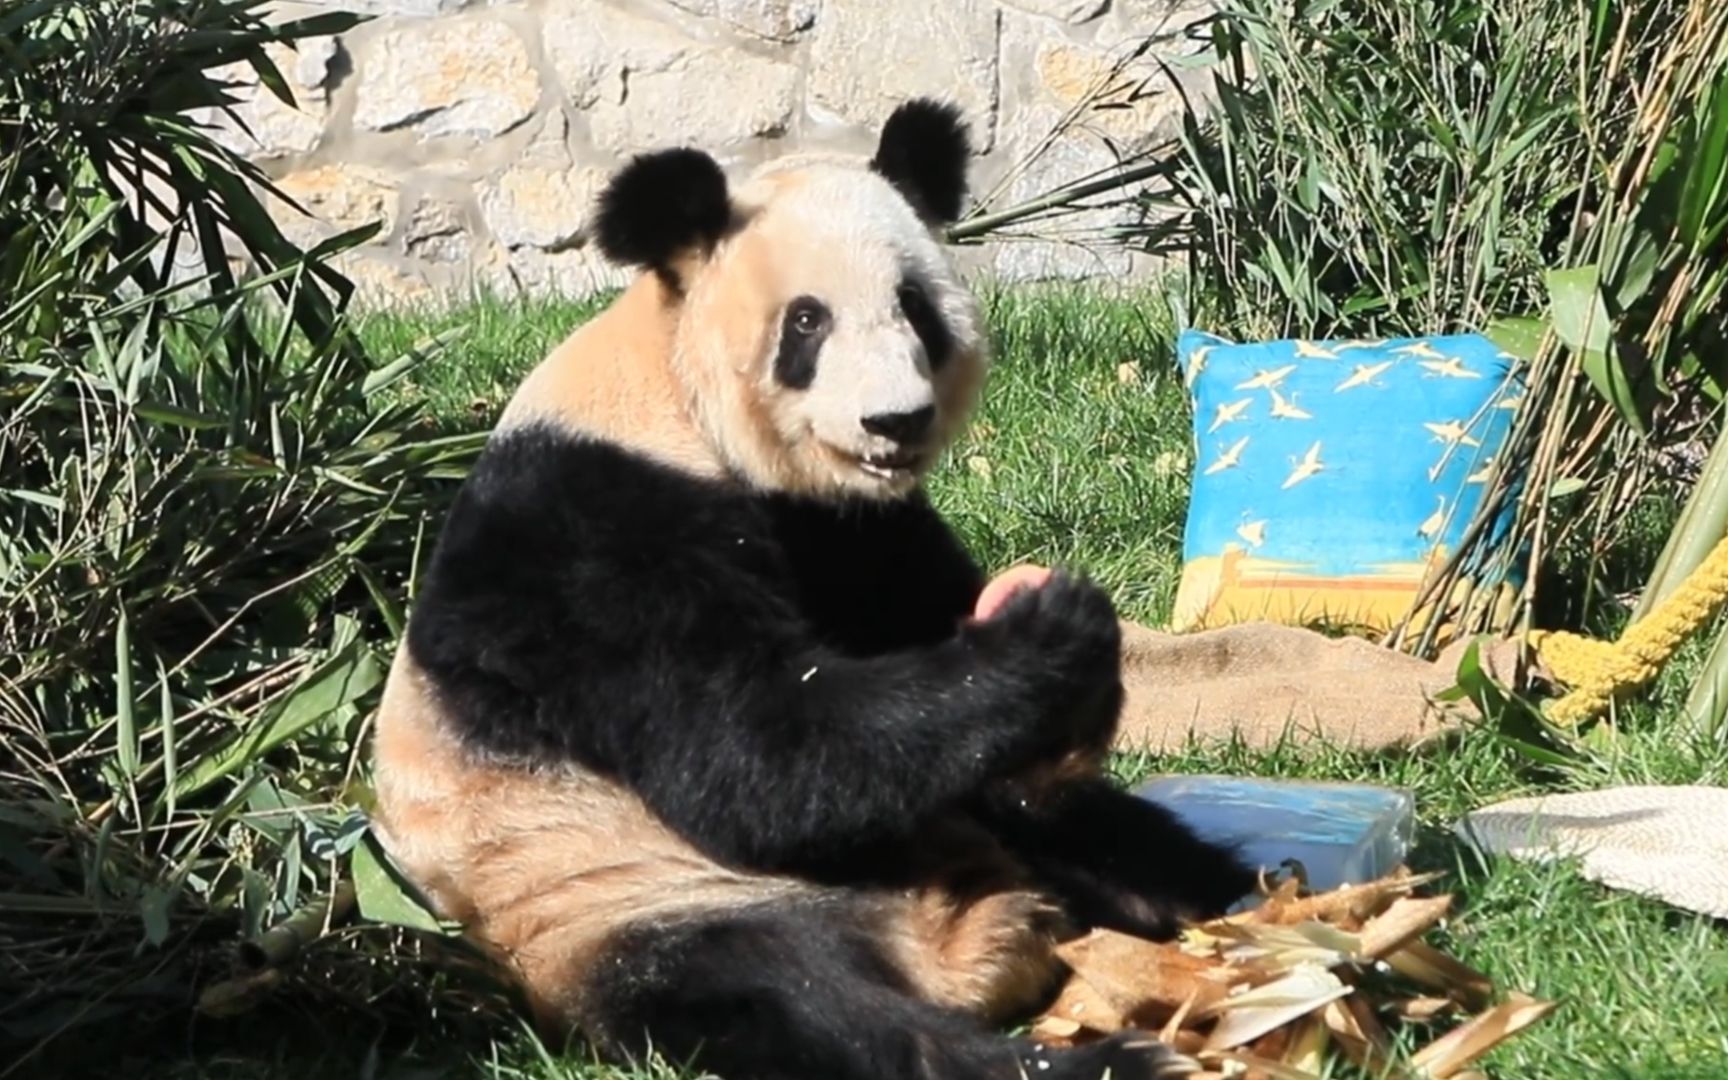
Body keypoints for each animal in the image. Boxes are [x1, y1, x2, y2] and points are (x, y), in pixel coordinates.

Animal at [371, 96, 1251, 1071]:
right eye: (806, 323)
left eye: (914, 307)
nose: (896, 421)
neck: (669, 393)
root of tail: (949, 940)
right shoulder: (594, 536)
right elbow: (756, 754)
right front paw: (1053, 631)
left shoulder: (851, 530)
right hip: (621, 893)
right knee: (792, 1000)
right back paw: (1102, 1057)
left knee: (1102, 831)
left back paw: (1233, 899)